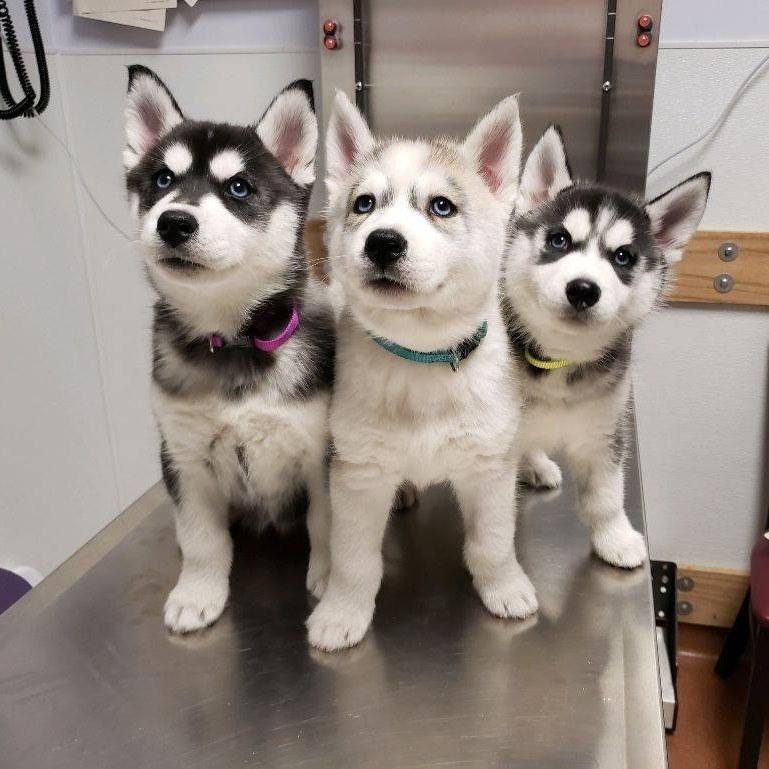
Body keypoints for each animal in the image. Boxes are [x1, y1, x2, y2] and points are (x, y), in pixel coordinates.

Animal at [124, 66, 335, 633]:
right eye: (162, 181)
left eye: (238, 187)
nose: (174, 222)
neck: (231, 339)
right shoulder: (183, 457)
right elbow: (201, 538)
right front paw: (198, 592)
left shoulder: (321, 452)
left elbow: (326, 519)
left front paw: (330, 575)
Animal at [306, 91, 536, 651]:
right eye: (364, 204)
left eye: (441, 206)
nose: (383, 242)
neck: (421, 359)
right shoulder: (358, 476)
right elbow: (354, 559)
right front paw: (342, 612)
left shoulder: (489, 469)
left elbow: (492, 544)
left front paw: (504, 587)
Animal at [503, 125, 710, 568]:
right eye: (559, 240)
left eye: (623, 257)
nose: (583, 289)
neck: (560, 359)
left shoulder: (604, 431)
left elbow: (606, 497)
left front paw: (614, 538)